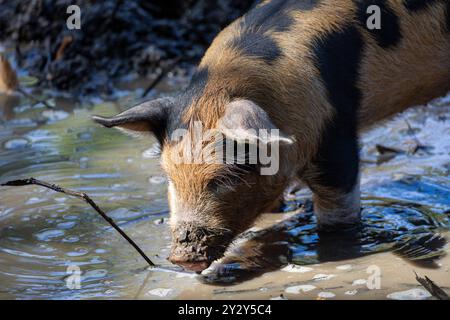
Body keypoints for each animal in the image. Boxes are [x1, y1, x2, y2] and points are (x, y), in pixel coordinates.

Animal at [92, 0, 450, 272]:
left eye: (224, 178)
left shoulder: (336, 138)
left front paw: (338, 252)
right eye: (170, 178)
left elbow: (338, 211)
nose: (182, 258)